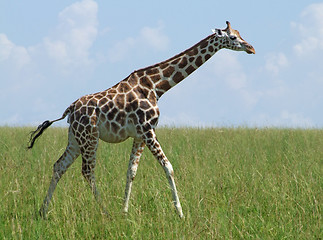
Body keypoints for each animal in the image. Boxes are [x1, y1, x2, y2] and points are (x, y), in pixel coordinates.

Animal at [28, 21, 256, 218]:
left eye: (240, 33)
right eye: (233, 37)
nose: (251, 48)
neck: (157, 86)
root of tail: (70, 110)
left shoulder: (139, 135)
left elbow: (131, 171)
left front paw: (125, 212)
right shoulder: (148, 130)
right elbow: (168, 167)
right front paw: (180, 213)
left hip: (75, 138)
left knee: (59, 166)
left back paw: (43, 212)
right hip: (90, 136)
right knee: (87, 171)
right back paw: (105, 212)